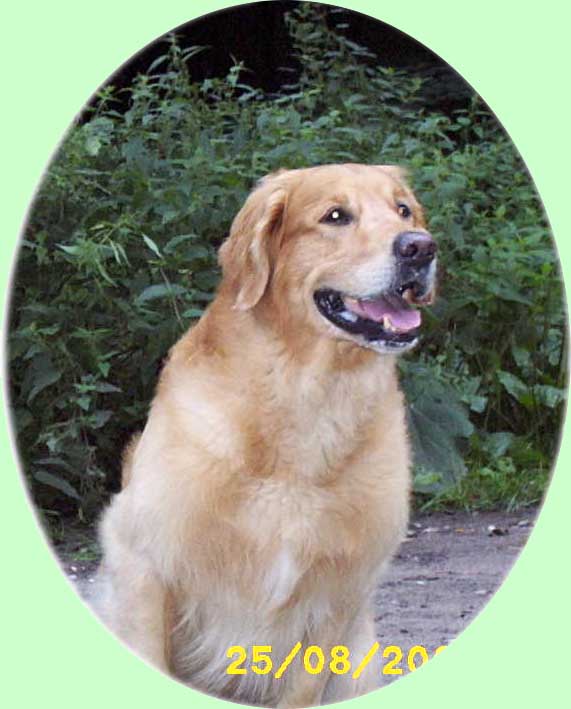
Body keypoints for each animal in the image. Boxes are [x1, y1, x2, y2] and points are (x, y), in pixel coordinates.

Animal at [95, 164, 437, 707]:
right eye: (335, 216)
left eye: (403, 210)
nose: (420, 247)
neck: (308, 398)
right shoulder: (143, 561)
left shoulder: (338, 592)